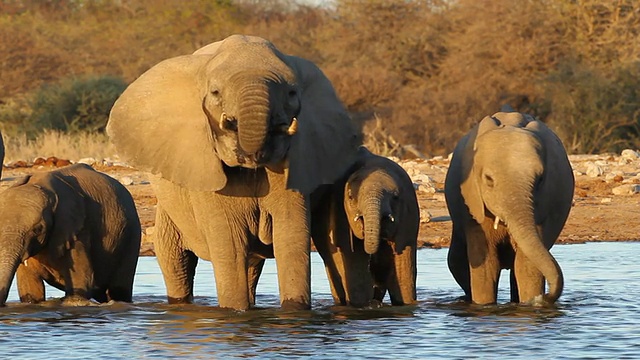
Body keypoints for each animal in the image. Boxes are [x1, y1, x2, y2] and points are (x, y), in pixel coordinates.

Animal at [0, 164, 141, 306]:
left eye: (38, 229)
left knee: (119, 289)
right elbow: (30, 288)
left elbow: (82, 275)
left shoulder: (76, 227)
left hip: (131, 235)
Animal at [107, 33, 362, 310]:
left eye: (292, 93)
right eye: (215, 93)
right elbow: (230, 243)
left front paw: (294, 312)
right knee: (175, 258)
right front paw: (233, 311)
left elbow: (291, 239)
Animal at [444, 110, 576, 306]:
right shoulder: (472, 207)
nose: (543, 297)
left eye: (540, 179)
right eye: (488, 179)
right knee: (456, 261)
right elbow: (487, 265)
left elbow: (526, 265)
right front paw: (485, 306)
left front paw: (529, 304)